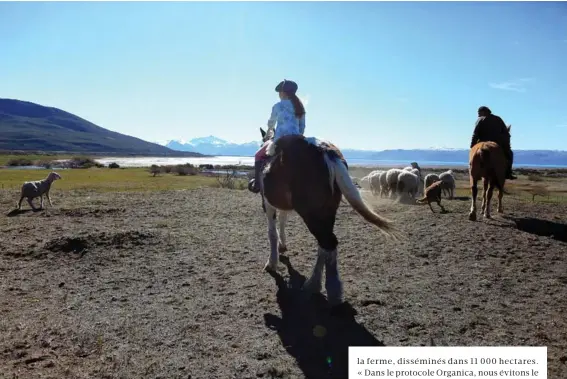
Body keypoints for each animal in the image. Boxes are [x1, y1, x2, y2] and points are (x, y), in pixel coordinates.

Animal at [255, 127, 402, 306]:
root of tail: (326, 152)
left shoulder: (267, 203)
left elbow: (272, 232)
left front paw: (272, 263)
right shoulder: (283, 206)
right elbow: (282, 223)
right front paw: (282, 246)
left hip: (312, 215)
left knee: (328, 242)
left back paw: (330, 291)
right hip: (327, 212)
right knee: (326, 245)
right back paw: (315, 285)